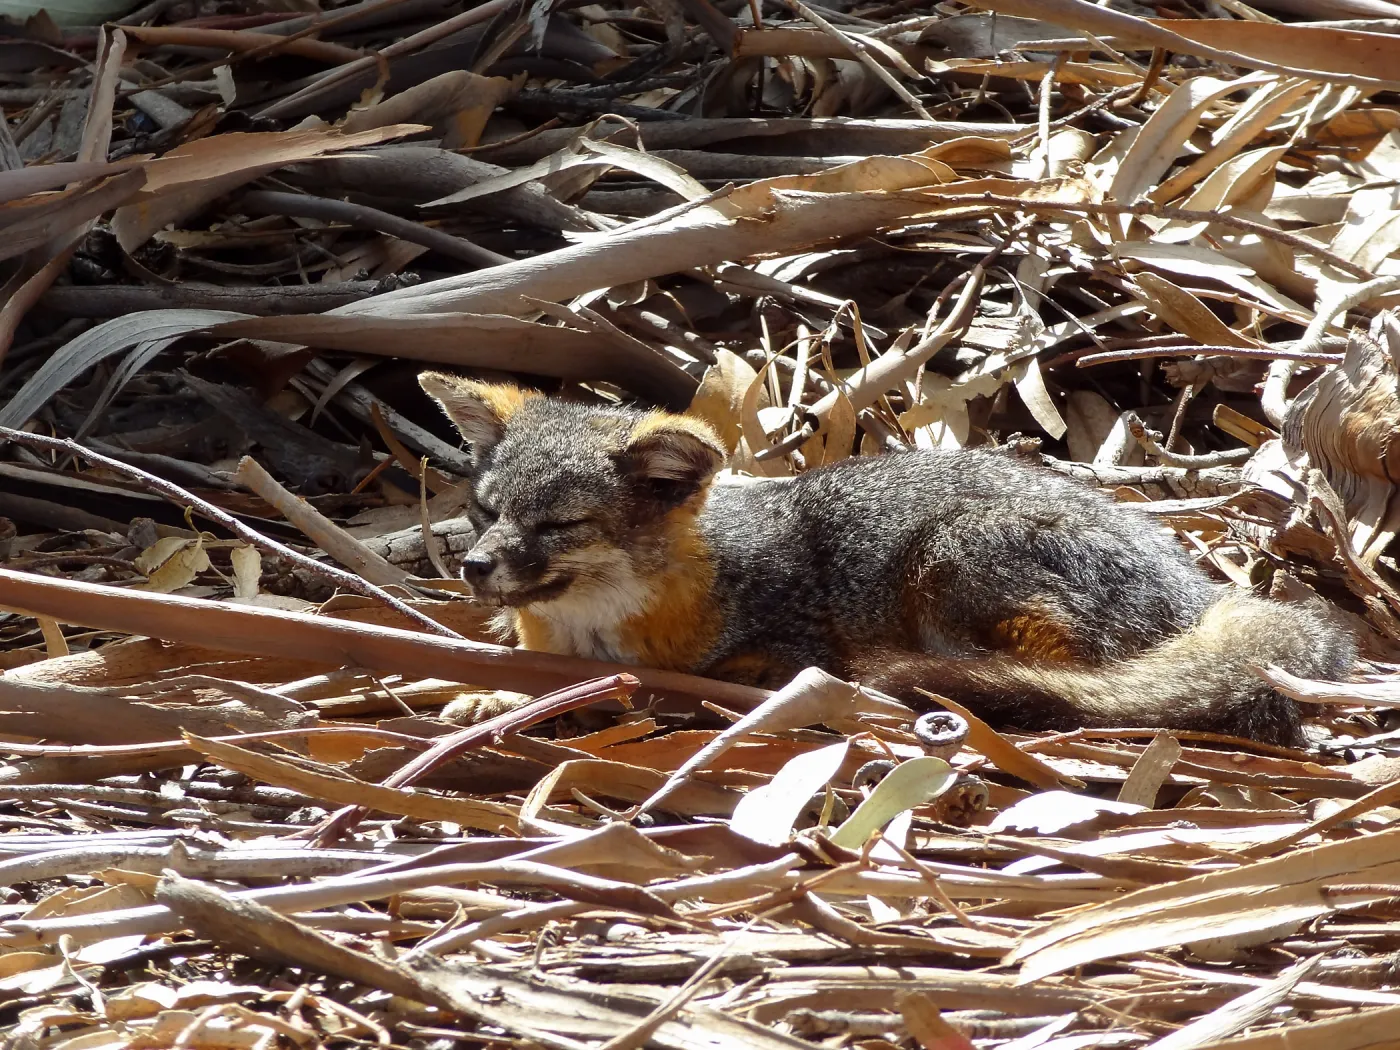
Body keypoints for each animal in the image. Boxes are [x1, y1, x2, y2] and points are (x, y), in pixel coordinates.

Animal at [418, 372, 1356, 747]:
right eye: (487, 512)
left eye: (559, 525)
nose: (474, 569)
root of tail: (1205, 598)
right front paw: (484, 694)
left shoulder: (782, 648)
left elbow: (678, 686)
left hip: (951, 554)